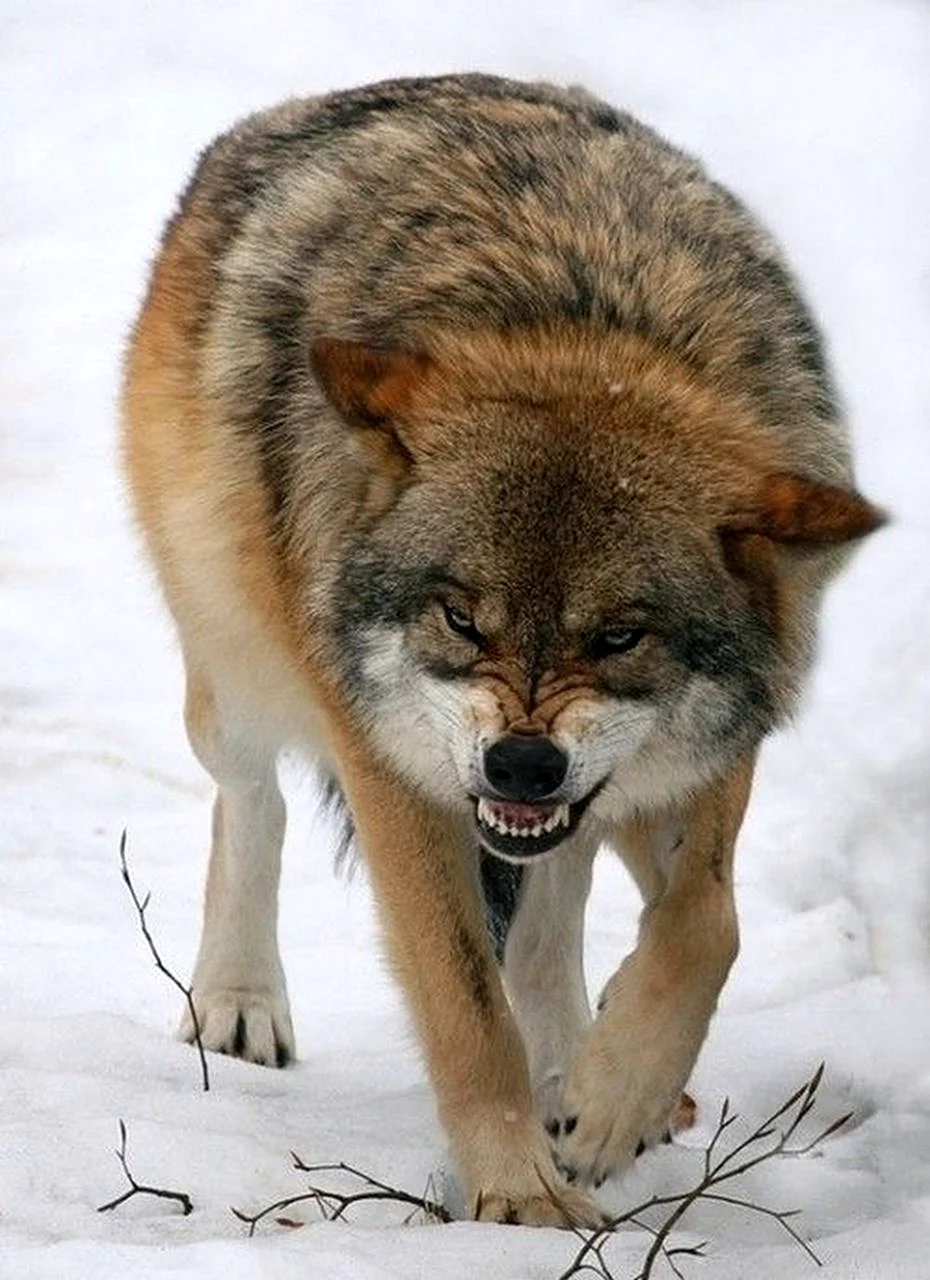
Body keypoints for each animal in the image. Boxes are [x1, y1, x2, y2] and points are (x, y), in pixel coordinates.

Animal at [122, 73, 883, 1226]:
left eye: (619, 636)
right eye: (462, 620)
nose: (522, 764)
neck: (583, 331)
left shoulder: (705, 755)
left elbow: (706, 923)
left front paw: (610, 1102)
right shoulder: (394, 772)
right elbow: (469, 1011)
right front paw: (521, 1197)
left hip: (597, 798)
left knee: (553, 916)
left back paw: (576, 1067)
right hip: (236, 660)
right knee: (250, 799)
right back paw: (239, 1002)